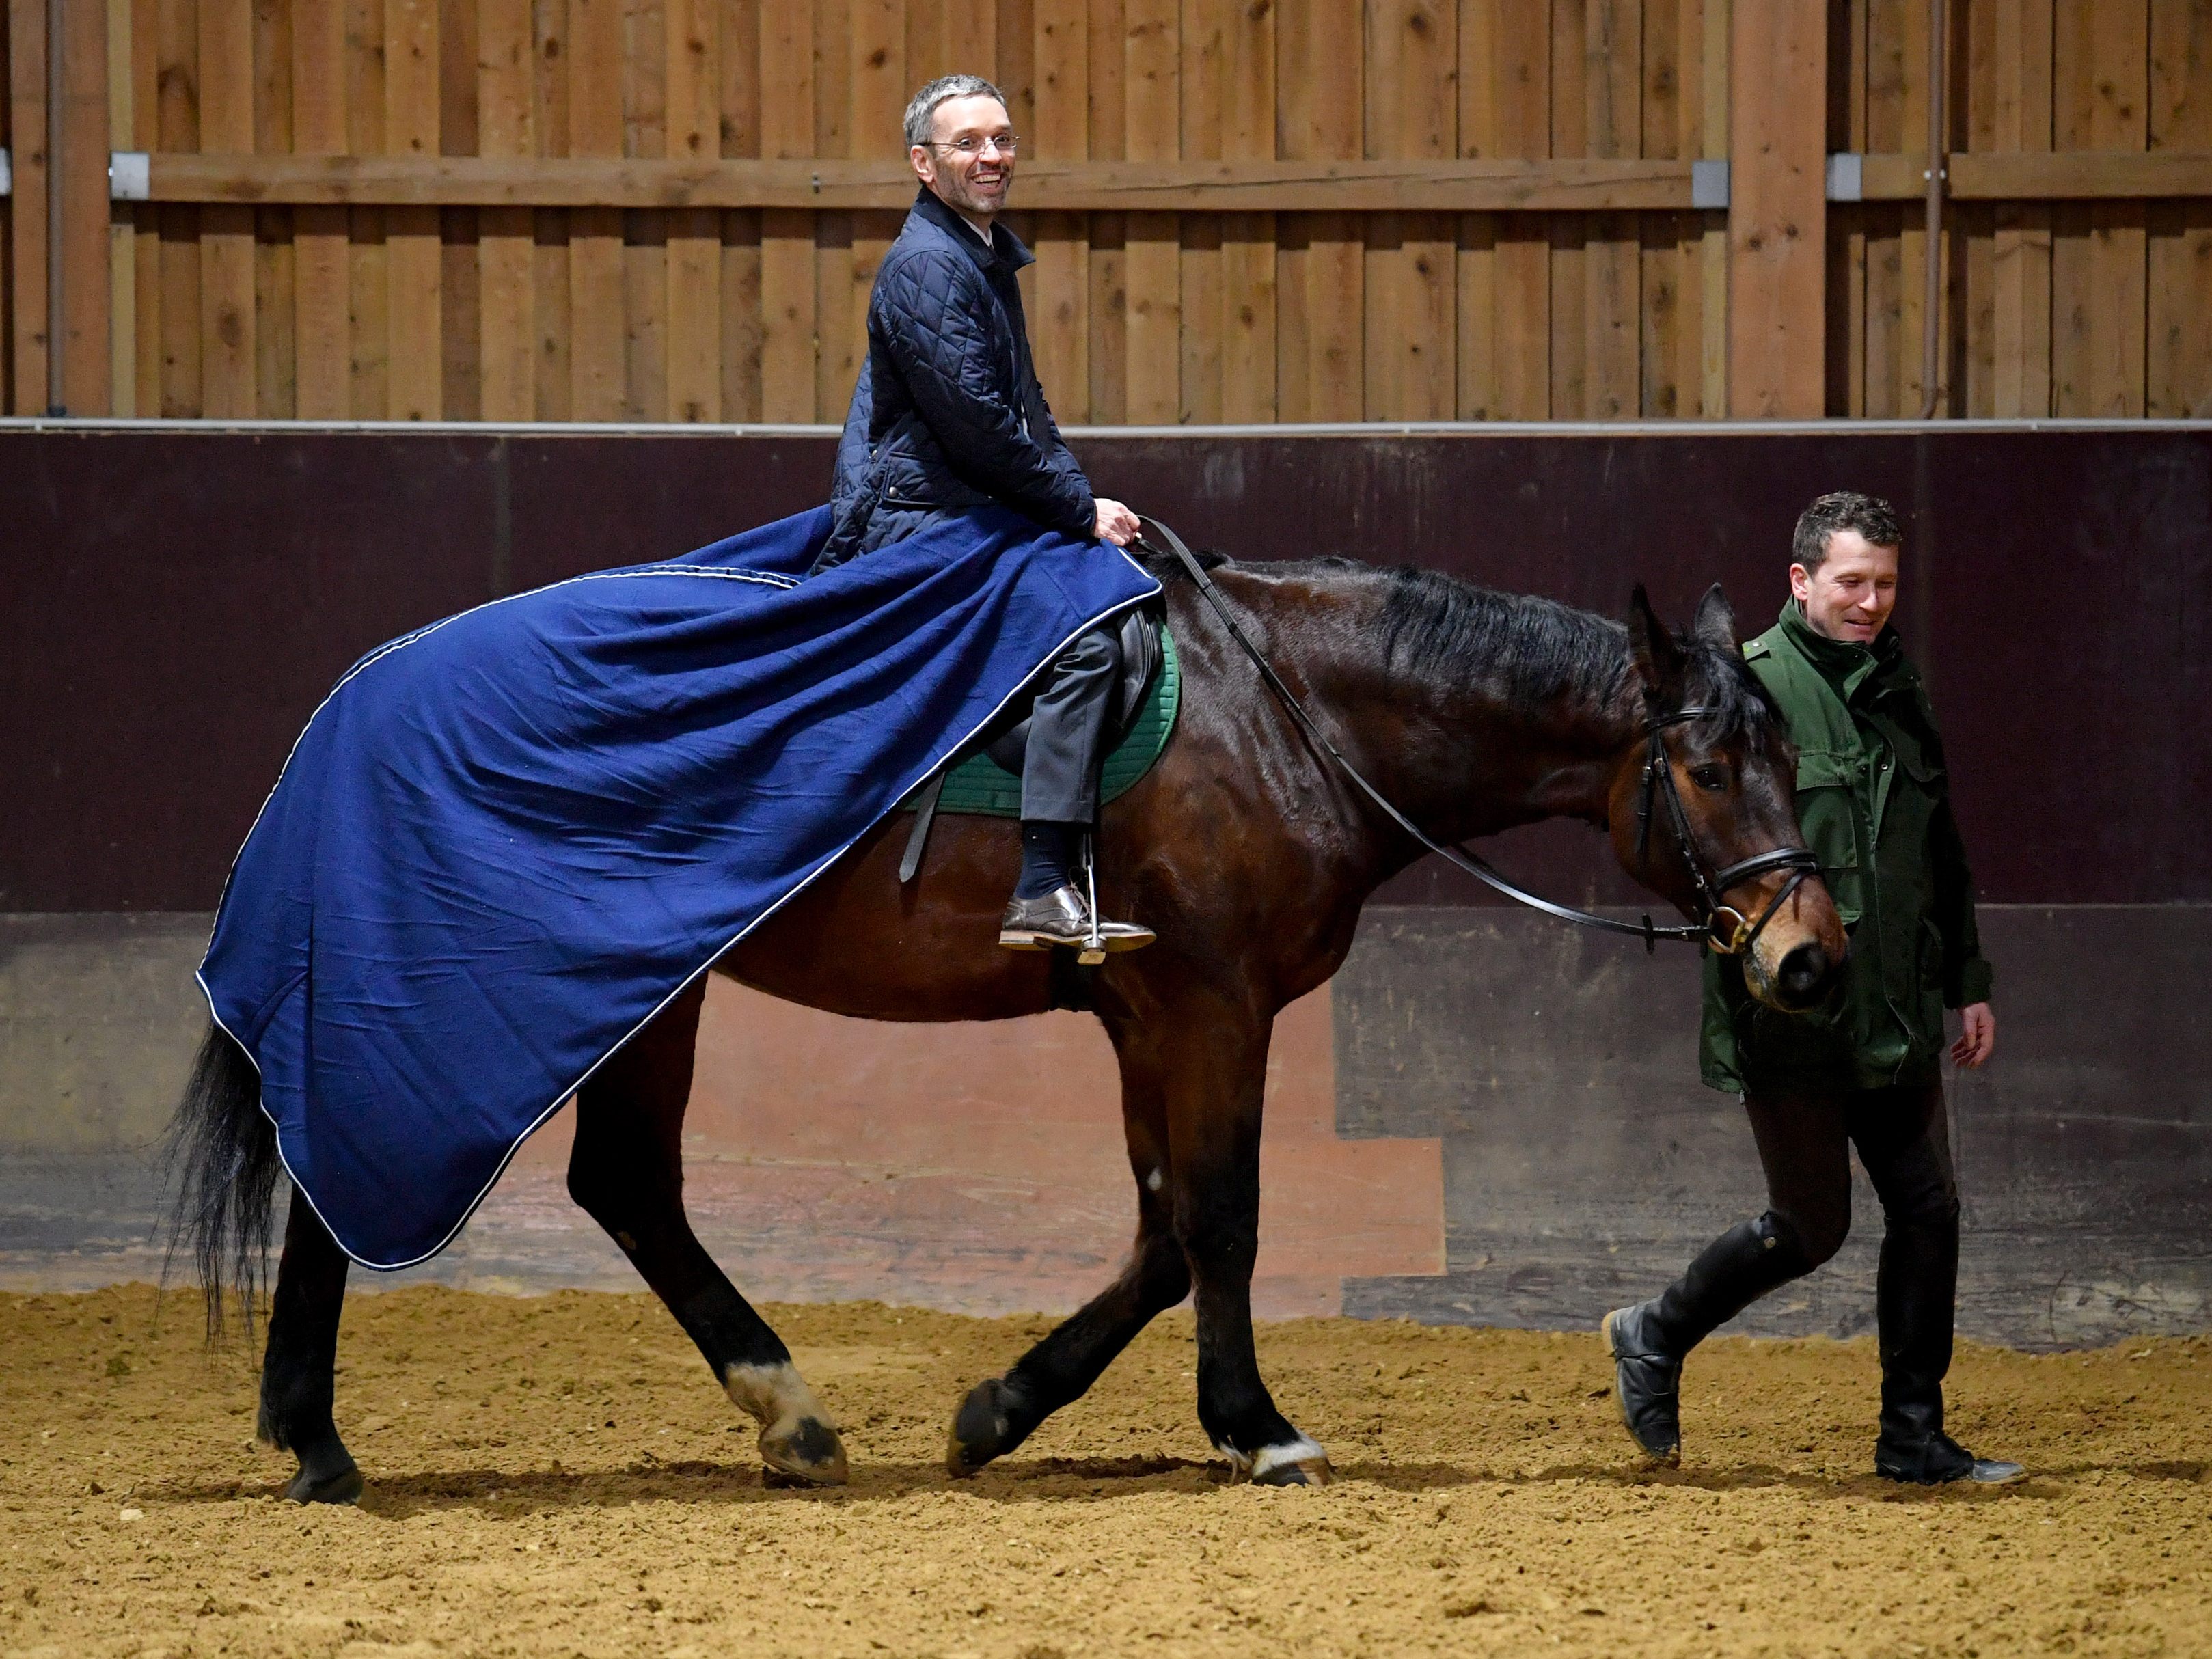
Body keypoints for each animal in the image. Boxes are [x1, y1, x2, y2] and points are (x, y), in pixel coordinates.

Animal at [163, 555, 1840, 1504]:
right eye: (1705, 768)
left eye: (1787, 759)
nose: (1812, 959)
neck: (1284, 716)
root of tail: (370, 686)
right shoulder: (1212, 1005)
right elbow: (1220, 1221)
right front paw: (1259, 1427)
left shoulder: (1146, 1015)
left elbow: (1162, 1234)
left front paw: (998, 1409)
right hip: (540, 992)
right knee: (459, 1172)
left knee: (577, 1186)